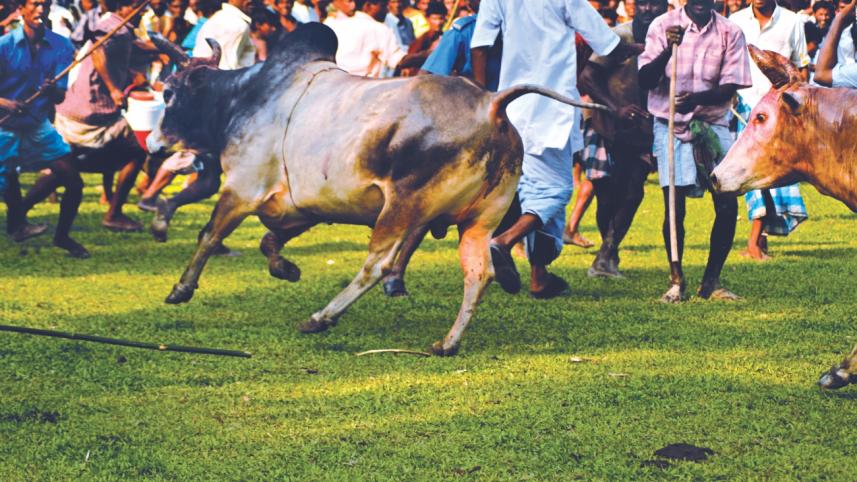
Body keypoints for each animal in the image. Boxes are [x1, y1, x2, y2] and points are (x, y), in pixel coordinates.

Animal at [146, 23, 603, 355]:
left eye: (168, 93)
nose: (153, 142)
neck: (244, 97)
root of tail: (490, 103)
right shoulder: (299, 207)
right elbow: (268, 242)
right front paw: (286, 269)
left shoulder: (241, 188)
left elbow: (209, 236)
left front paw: (180, 289)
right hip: (478, 221)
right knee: (479, 271)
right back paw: (447, 342)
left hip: (401, 207)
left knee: (378, 265)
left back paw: (321, 318)